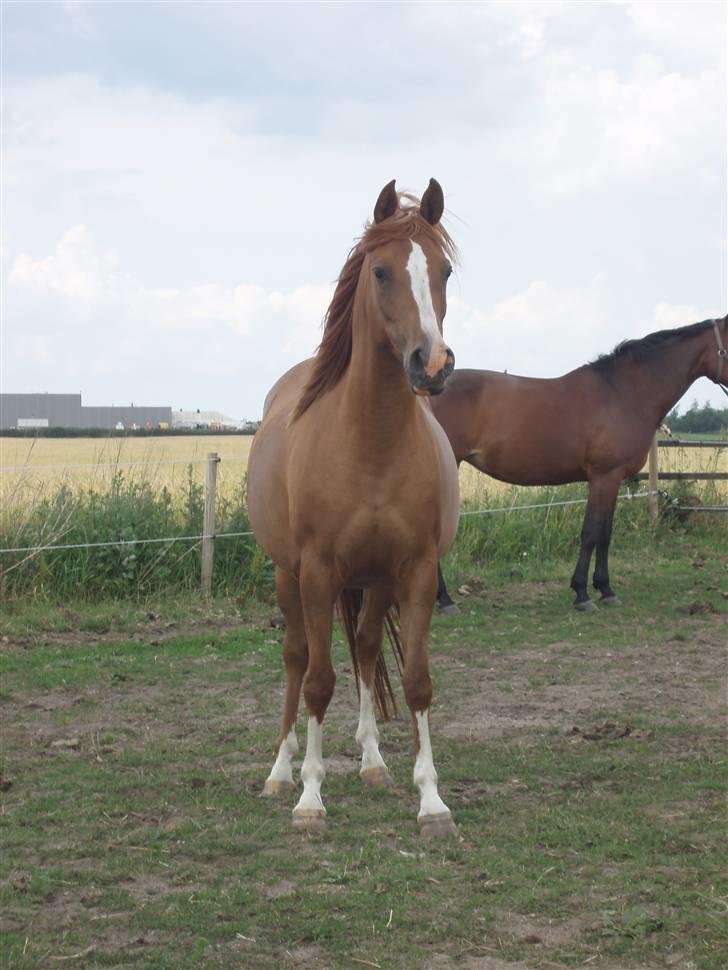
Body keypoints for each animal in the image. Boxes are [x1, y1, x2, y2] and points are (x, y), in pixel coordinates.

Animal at [246, 180, 460, 832]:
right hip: (288, 577)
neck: (371, 441)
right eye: (382, 271)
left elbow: (415, 681)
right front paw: (310, 798)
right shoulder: (317, 571)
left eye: (443, 271)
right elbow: (319, 681)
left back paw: (372, 762)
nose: (431, 364)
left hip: (375, 582)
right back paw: (281, 769)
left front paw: (431, 799)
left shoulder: (415, 572)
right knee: (296, 658)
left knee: (365, 650)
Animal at [432, 314, 728, 608]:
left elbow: (605, 534)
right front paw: (582, 593)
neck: (624, 393)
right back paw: (445, 600)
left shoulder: (613, 479)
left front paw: (606, 590)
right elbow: (590, 533)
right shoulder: (603, 476)